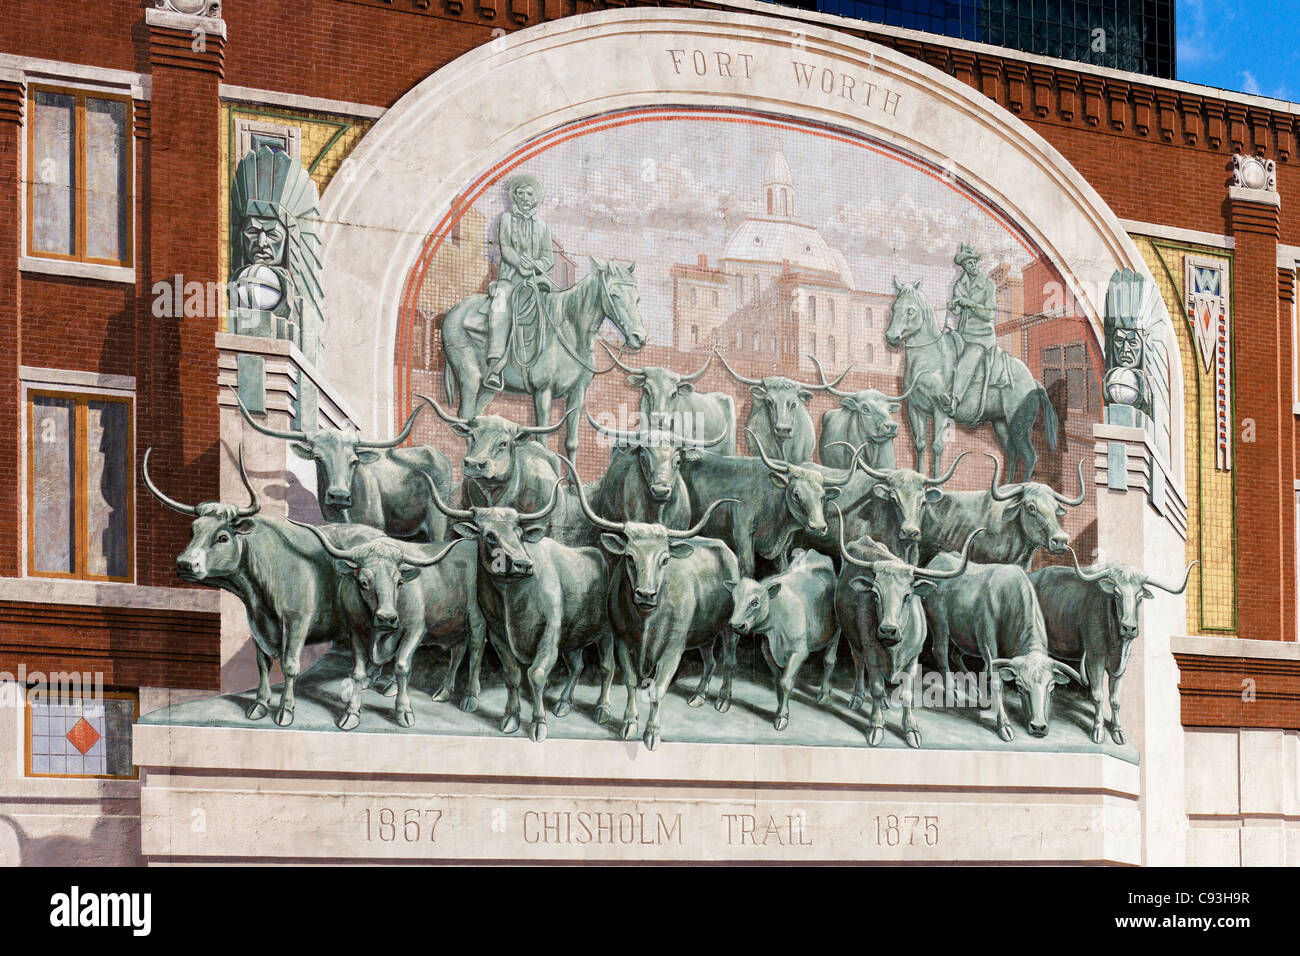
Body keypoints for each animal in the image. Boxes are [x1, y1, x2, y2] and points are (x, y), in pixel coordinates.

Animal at [439, 257, 647, 460]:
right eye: (614, 294)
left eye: (637, 298)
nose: (639, 337)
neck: (568, 331)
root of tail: (452, 310)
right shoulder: (543, 392)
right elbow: (542, 440)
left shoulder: (577, 393)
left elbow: (571, 443)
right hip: (469, 379)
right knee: (465, 419)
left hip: (488, 389)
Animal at [728, 548, 837, 728]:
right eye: (734, 600)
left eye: (754, 602)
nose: (735, 625)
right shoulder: (767, 651)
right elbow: (777, 681)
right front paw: (779, 709)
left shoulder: (799, 652)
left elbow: (786, 682)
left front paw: (783, 716)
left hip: (836, 631)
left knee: (829, 660)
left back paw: (825, 694)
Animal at [883, 280, 1055, 481]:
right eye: (894, 308)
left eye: (910, 310)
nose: (891, 337)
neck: (929, 362)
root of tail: (1034, 382)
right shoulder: (914, 410)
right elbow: (920, 445)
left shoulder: (940, 412)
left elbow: (937, 447)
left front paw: (937, 483)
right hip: (1001, 424)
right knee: (1011, 454)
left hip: (1018, 426)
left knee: (1029, 457)